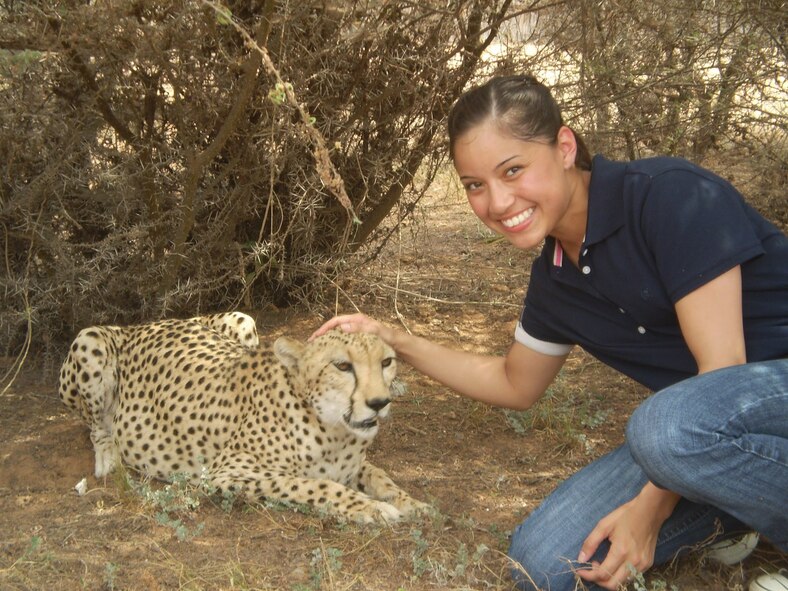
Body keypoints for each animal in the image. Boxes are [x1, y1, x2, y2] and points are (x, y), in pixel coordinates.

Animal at [60, 314, 430, 524]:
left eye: (386, 362)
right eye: (342, 366)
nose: (379, 403)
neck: (332, 427)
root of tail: (143, 324)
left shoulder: (354, 464)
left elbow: (380, 477)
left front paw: (409, 502)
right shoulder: (225, 473)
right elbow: (312, 485)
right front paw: (371, 508)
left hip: (243, 319)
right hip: (89, 340)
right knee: (96, 426)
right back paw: (108, 458)